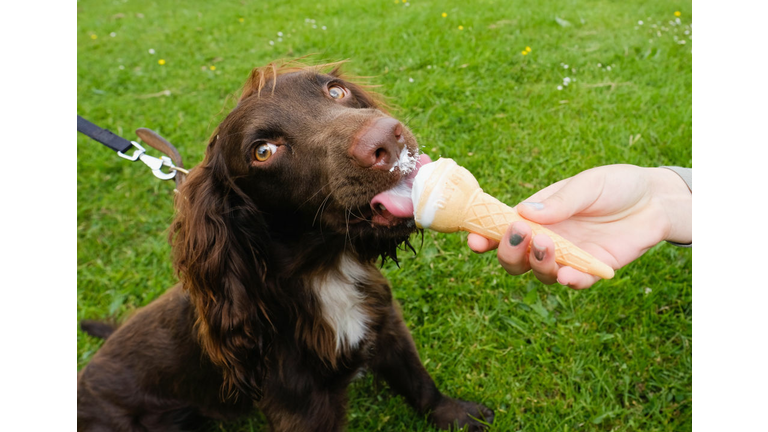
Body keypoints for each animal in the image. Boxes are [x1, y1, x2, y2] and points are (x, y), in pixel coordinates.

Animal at [75, 61, 492, 432]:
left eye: (335, 92)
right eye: (263, 151)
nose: (388, 138)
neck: (323, 269)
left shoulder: (387, 323)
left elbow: (418, 381)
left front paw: (455, 415)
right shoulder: (299, 406)